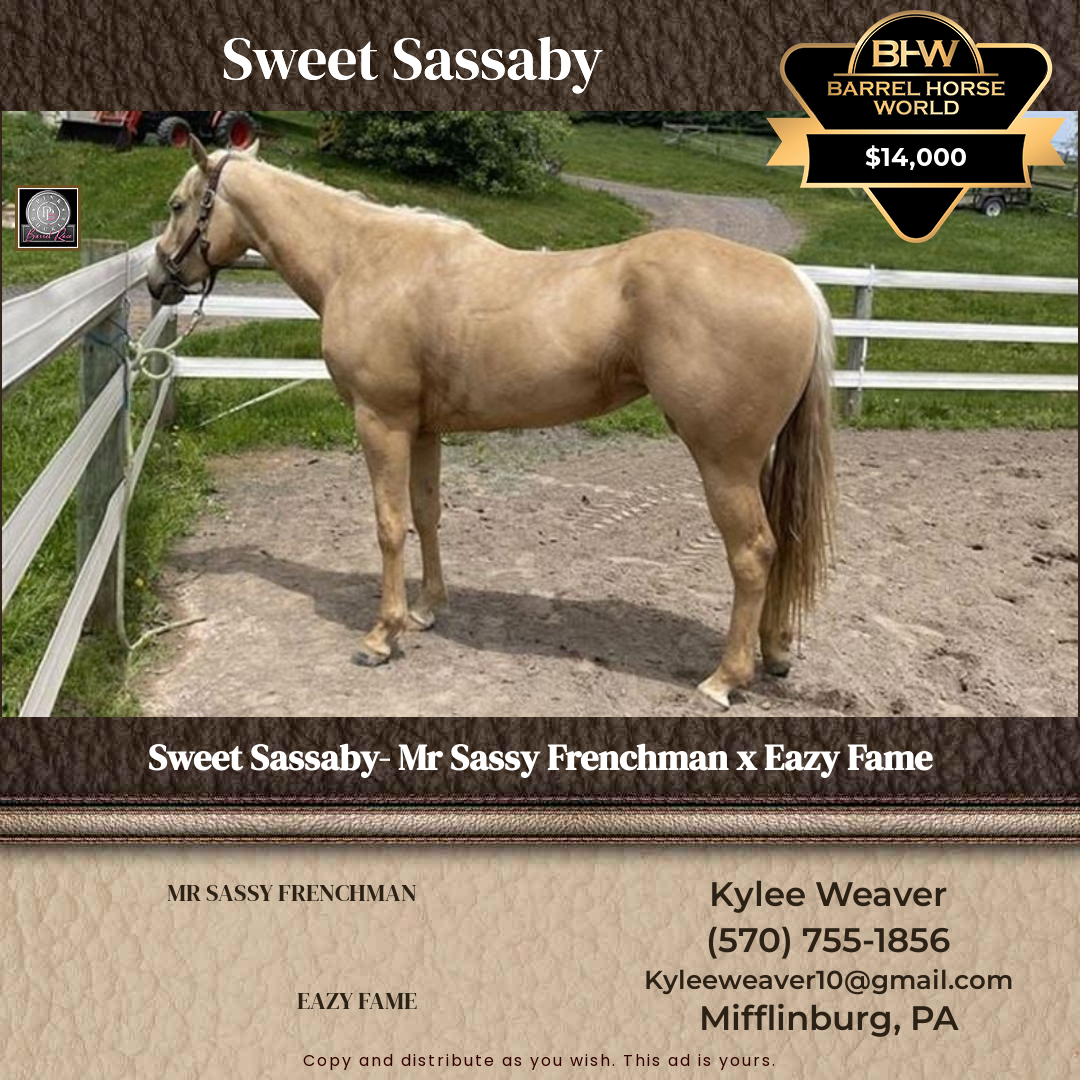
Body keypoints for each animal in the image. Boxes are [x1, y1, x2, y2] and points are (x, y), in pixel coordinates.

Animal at [147, 138, 836, 709]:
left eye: (178, 204)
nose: (156, 281)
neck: (364, 260)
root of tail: (797, 283)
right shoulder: (423, 429)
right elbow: (426, 514)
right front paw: (427, 610)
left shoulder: (381, 422)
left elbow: (389, 525)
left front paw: (382, 635)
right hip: (757, 461)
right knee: (781, 544)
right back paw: (773, 653)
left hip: (723, 461)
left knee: (753, 553)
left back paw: (724, 679)